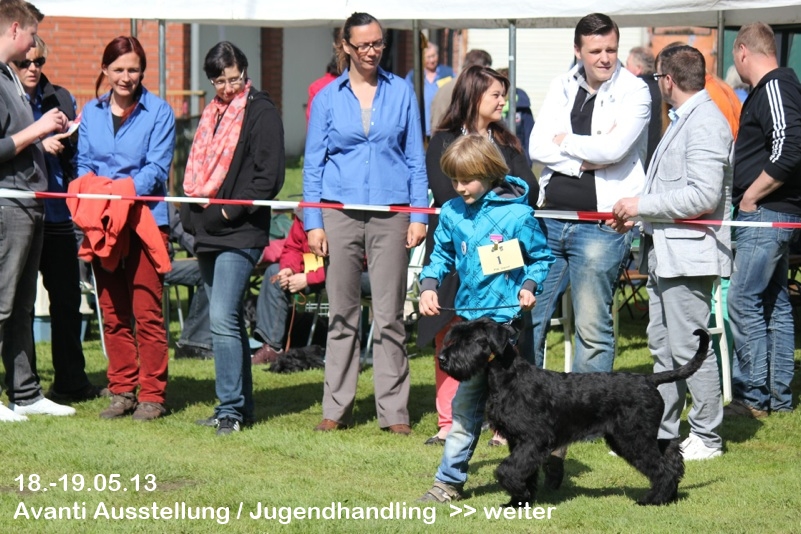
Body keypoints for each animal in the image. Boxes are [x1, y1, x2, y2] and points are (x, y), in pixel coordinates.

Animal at [440, 320, 708, 508]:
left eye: (469, 340)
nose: (442, 358)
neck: (509, 377)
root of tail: (649, 379)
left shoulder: (535, 439)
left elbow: (507, 469)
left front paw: (519, 493)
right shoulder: (519, 441)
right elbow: (525, 471)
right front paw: (518, 503)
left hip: (632, 438)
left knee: (661, 468)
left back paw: (652, 499)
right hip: (630, 437)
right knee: (670, 452)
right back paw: (670, 495)